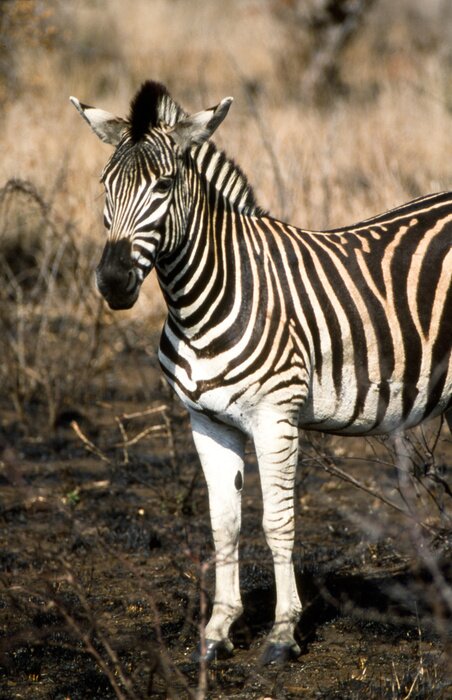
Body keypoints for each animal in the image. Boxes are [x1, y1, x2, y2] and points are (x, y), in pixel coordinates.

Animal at [71, 81, 452, 664]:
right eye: (104, 187)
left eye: (164, 185)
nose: (113, 283)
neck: (201, 301)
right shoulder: (207, 421)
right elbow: (223, 524)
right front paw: (217, 630)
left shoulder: (276, 417)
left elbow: (277, 521)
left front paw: (282, 632)